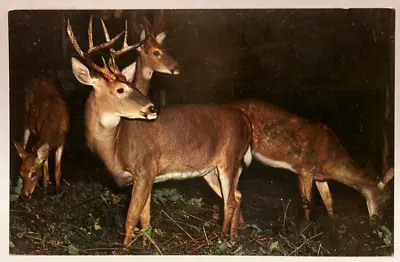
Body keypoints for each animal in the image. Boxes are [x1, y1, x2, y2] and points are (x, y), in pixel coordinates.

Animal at [67, 16, 252, 246]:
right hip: (211, 169)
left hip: (230, 159)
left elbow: (130, 220)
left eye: (133, 86)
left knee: (230, 202)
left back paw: (222, 240)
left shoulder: (145, 168)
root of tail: (246, 121)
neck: (115, 146)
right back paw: (234, 238)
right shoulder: (147, 176)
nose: (152, 108)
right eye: (121, 89)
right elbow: (144, 218)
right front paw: (147, 245)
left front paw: (125, 248)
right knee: (237, 195)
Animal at [230, 98, 396, 223]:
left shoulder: (319, 176)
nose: (378, 219)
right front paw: (308, 227)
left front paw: (333, 221)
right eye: (387, 199)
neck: (331, 160)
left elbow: (328, 200)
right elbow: (307, 202)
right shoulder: (305, 170)